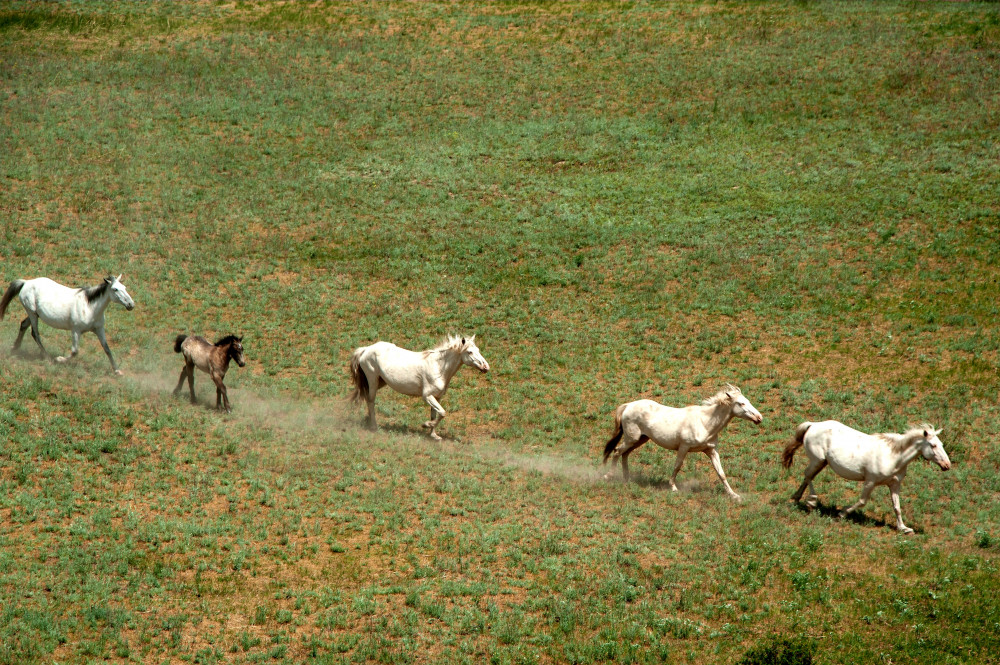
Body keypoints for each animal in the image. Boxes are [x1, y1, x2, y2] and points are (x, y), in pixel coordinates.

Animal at [0, 274, 135, 374]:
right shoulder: (76, 330)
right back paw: (48, 358)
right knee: (35, 333)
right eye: (115, 289)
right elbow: (75, 351)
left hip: (34, 314)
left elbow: (107, 349)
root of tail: (26, 282)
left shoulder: (99, 329)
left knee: (23, 324)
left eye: (124, 287)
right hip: (32, 313)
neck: (89, 307)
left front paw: (117, 371)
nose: (131, 305)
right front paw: (59, 359)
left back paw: (14, 348)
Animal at [350, 334, 490, 438]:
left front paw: (433, 435)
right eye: (470, 352)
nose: (486, 367)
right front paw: (426, 425)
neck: (438, 367)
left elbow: (435, 414)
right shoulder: (427, 396)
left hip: (380, 382)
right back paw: (373, 426)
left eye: (478, 350)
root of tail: (366, 349)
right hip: (372, 380)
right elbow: (442, 413)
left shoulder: (436, 397)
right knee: (370, 400)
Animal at [600, 384, 764, 498]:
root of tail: (628, 405)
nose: (759, 418)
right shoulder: (684, 447)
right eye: (741, 403)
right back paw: (608, 476)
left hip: (640, 439)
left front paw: (734, 495)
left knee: (625, 454)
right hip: (631, 438)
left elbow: (721, 473)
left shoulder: (711, 450)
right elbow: (678, 466)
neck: (704, 422)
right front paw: (673, 487)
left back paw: (627, 479)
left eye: (748, 401)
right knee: (617, 451)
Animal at [780, 420, 952, 536]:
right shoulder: (870, 481)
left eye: (942, 444)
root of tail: (813, 424)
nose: (947, 465)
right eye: (933, 445)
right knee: (807, 475)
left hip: (821, 462)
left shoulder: (894, 485)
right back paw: (811, 501)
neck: (893, 456)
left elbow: (897, 507)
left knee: (807, 476)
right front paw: (842, 513)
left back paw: (797, 498)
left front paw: (904, 528)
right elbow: (862, 501)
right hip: (818, 460)